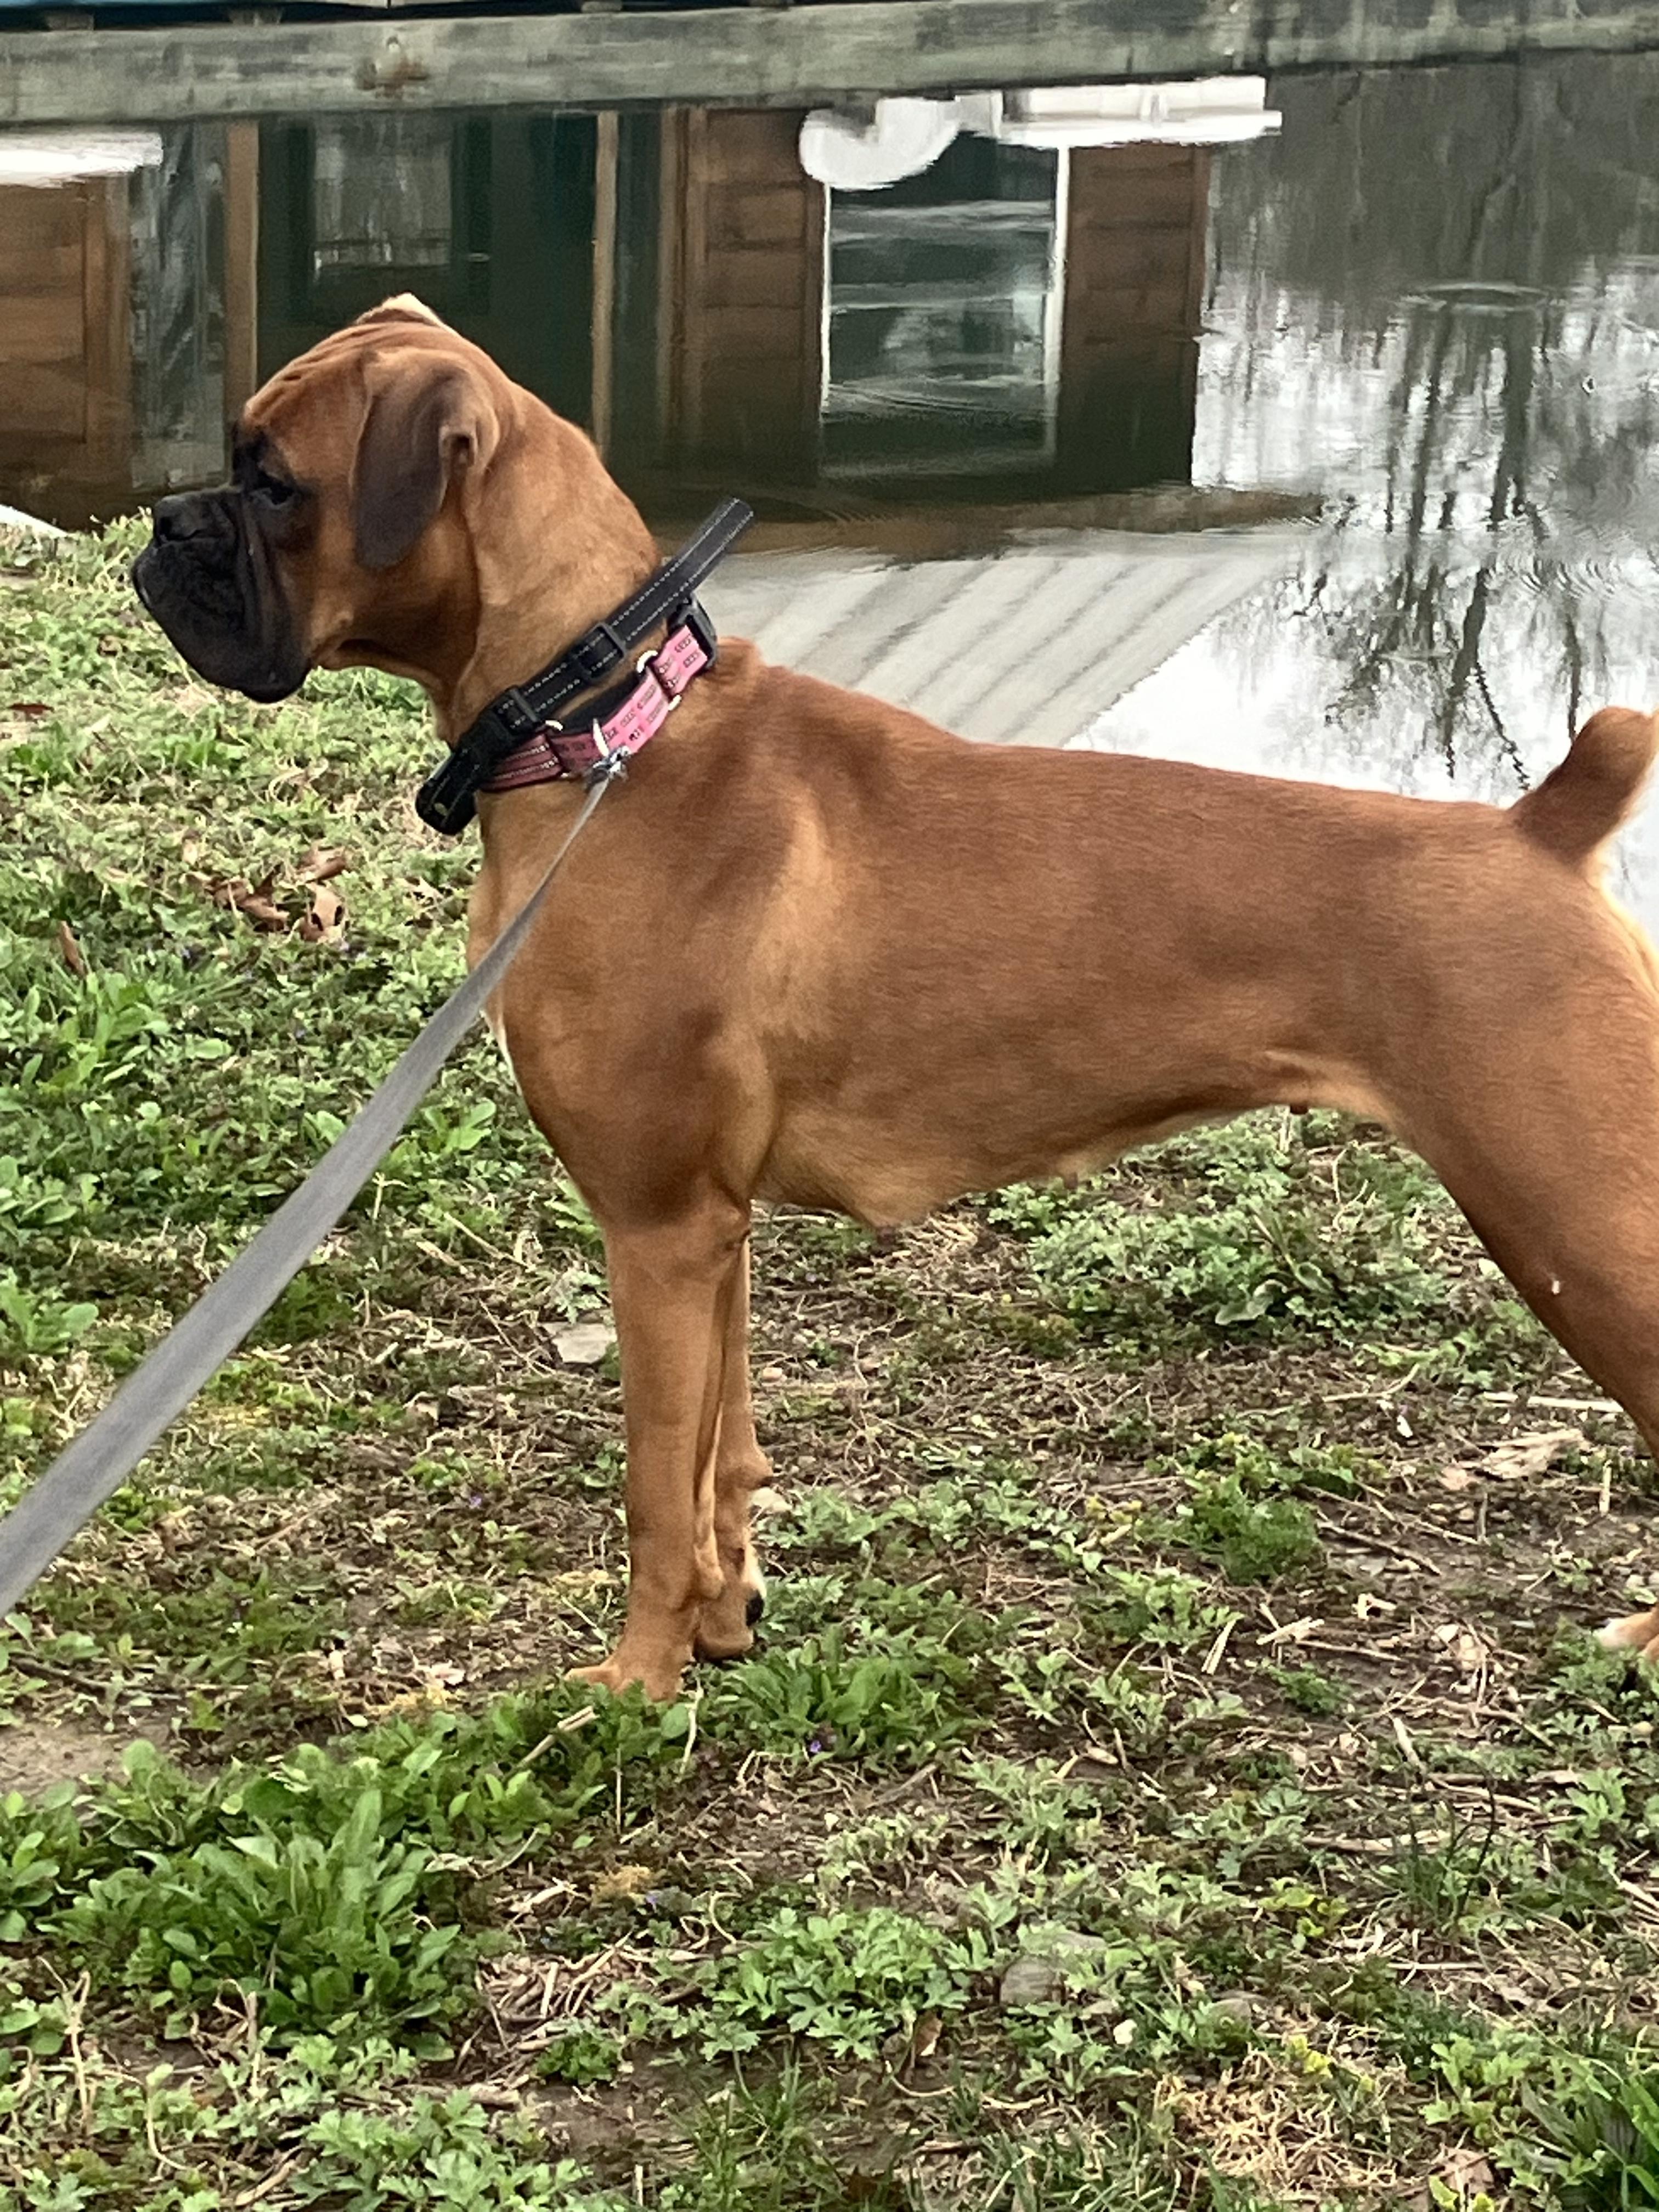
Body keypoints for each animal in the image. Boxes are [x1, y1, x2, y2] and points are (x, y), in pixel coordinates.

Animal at [134, 296, 1659, 1699]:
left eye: (275, 481)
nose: (160, 525)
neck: (603, 725)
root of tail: (1541, 832)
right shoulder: (714, 1238)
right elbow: (723, 1460)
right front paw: (724, 1623)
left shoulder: (654, 1228)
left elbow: (652, 1488)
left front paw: (636, 1684)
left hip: (1577, 1228)